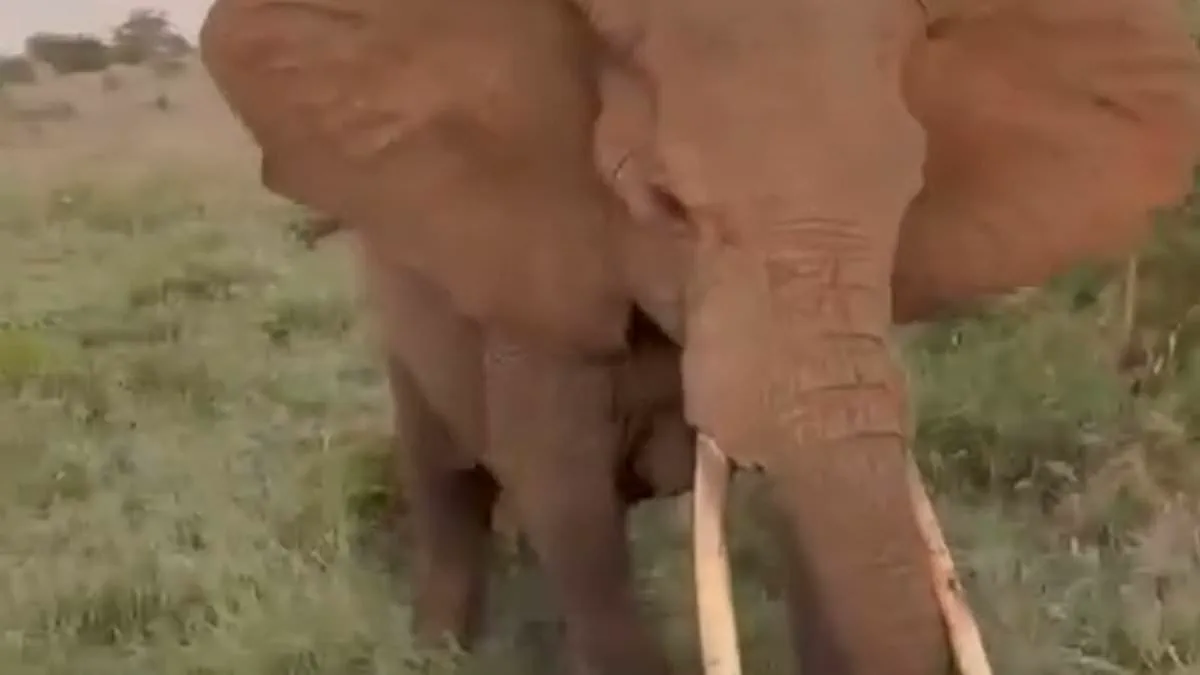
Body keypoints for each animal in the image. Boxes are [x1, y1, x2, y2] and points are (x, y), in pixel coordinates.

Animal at [198, 0, 1200, 672]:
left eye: (909, 193)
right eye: (665, 203)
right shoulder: (545, 286)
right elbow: (572, 516)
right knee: (447, 480)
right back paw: (439, 647)